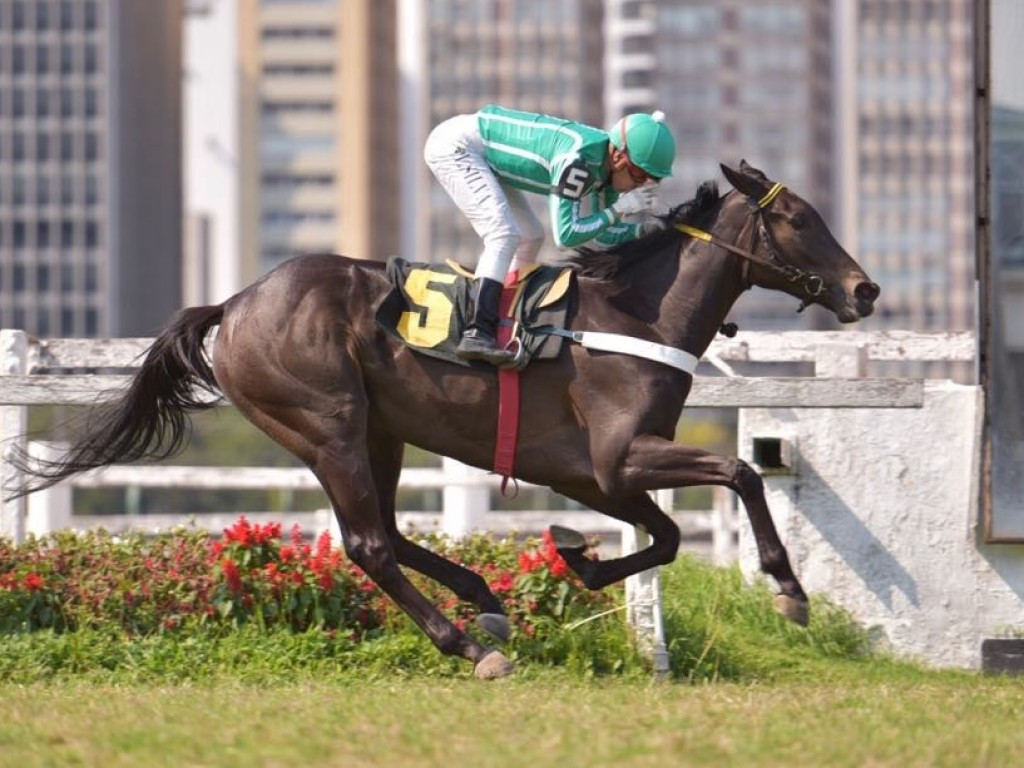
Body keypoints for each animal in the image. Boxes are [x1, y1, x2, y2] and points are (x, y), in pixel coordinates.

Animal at [14, 162, 880, 679]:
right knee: (368, 543)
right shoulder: (618, 456)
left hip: (380, 432)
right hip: (327, 423)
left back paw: (484, 602)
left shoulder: (592, 473)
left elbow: (665, 536)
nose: (865, 290)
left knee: (389, 534)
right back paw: (467, 643)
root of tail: (234, 303)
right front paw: (789, 590)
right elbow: (738, 472)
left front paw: (579, 559)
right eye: (800, 218)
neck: (636, 314)